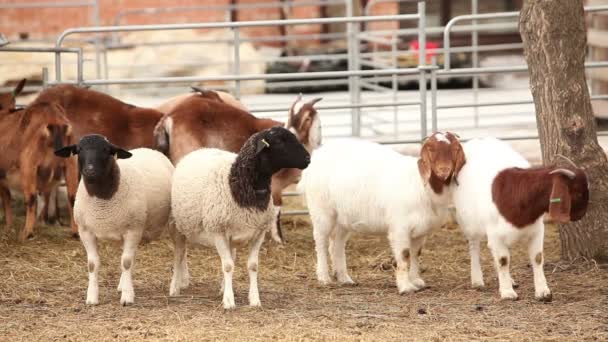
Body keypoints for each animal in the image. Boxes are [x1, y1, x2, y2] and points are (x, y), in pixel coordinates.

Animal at [0, 101, 78, 240]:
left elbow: (7, 199)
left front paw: (9, 227)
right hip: (71, 165)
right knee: (72, 197)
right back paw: (75, 233)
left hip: (28, 165)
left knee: (31, 198)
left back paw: (26, 234)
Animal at [55, 135, 173, 306]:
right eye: (79, 149)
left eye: (106, 150)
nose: (90, 170)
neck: (102, 200)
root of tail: (149, 149)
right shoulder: (85, 231)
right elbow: (93, 265)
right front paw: (92, 298)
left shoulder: (133, 230)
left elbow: (126, 262)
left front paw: (127, 297)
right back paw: (122, 285)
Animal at [153, 93, 324, 243]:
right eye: (291, 115)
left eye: (308, 118)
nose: (293, 132)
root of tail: (171, 116)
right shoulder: (274, 184)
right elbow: (276, 209)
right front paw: (278, 239)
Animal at [171, 127, 312, 308]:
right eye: (280, 141)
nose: (308, 158)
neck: (238, 182)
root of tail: (200, 150)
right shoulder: (218, 231)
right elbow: (227, 266)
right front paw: (229, 301)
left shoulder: (258, 233)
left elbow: (252, 266)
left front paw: (254, 299)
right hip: (178, 225)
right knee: (180, 254)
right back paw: (175, 286)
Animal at [452, 138, 588, 300]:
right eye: (578, 192)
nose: (582, 214)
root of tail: (477, 139)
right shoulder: (494, 233)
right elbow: (503, 260)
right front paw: (507, 292)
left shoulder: (537, 230)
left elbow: (537, 258)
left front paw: (543, 292)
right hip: (468, 222)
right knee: (474, 246)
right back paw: (477, 281)